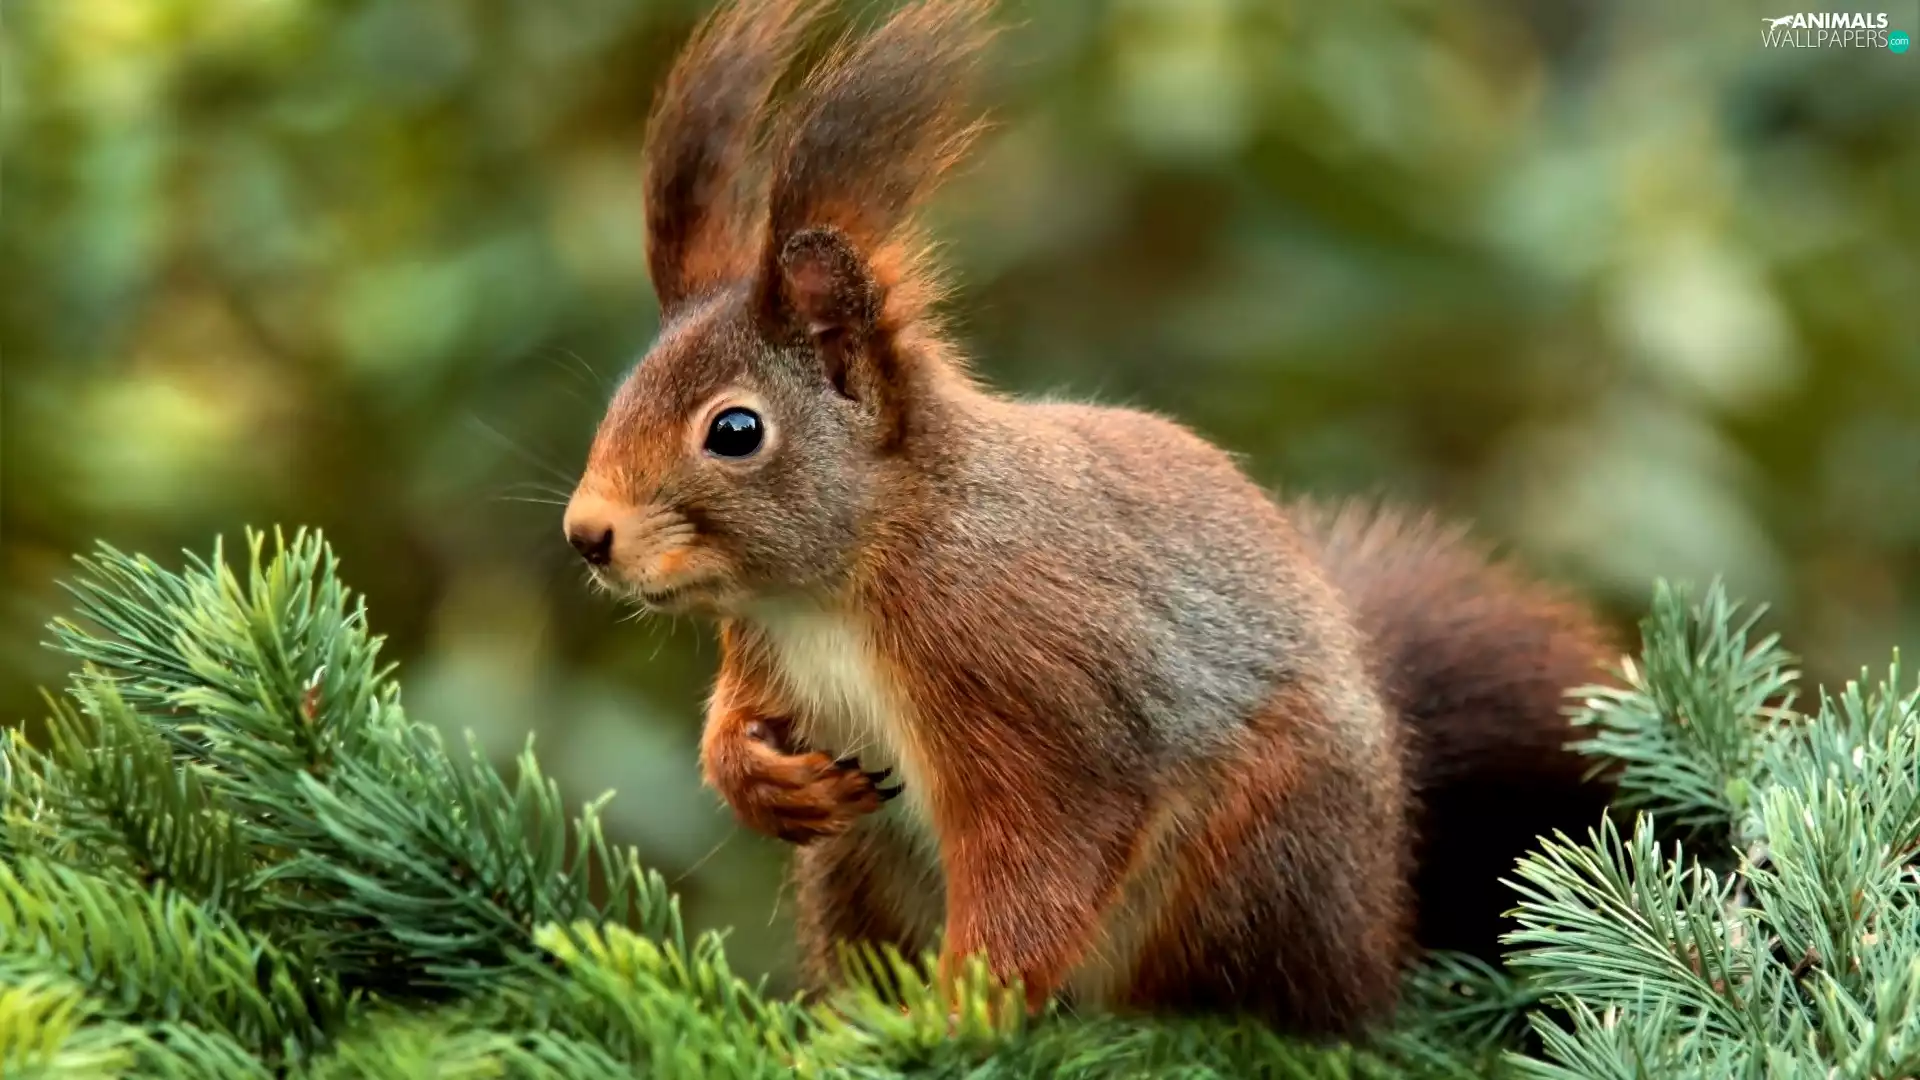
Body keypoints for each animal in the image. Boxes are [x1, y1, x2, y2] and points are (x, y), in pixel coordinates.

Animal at [561, 0, 1617, 1037]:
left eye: (735, 431)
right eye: (622, 391)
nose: (587, 534)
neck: (838, 585)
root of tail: (1379, 918)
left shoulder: (1025, 680)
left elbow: (1041, 858)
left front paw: (957, 1014)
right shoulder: (764, 649)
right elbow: (734, 721)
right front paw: (755, 775)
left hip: (1255, 850)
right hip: (855, 866)